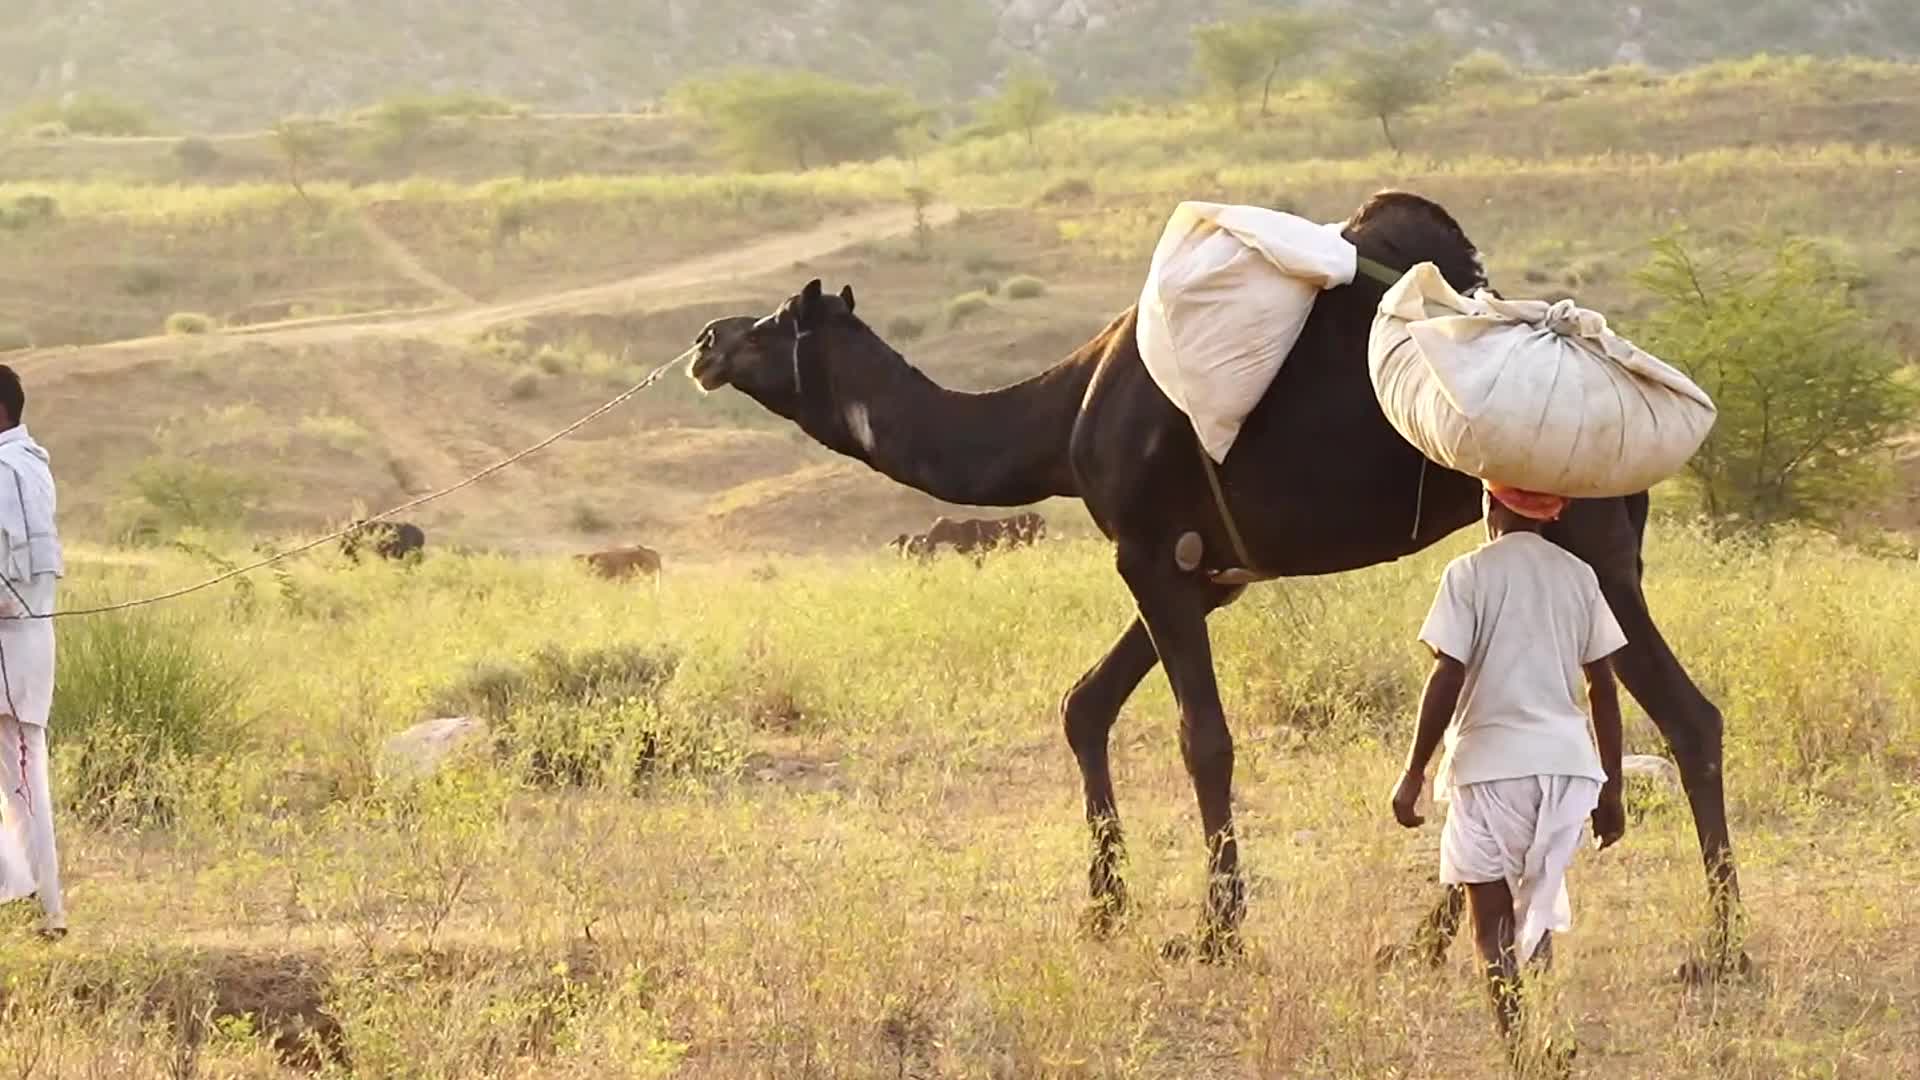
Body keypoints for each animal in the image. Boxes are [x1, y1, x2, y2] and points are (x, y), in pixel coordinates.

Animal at [682, 191, 1743, 974]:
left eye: (773, 323)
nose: (705, 341)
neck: (1061, 420)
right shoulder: (1204, 570)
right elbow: (1085, 703)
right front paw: (1105, 908)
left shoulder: (1149, 550)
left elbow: (1205, 740)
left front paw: (1213, 930)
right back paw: (1436, 941)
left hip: (1589, 537)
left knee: (1686, 716)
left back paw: (1719, 949)